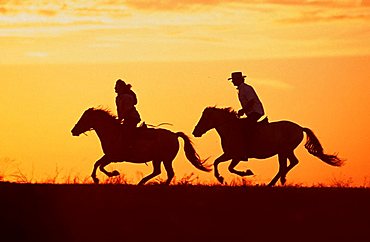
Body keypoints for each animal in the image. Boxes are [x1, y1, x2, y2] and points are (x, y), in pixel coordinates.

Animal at [71, 108, 211, 183]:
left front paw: (114, 173)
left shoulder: (113, 157)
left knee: (169, 173)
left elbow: (100, 166)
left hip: (166, 159)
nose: (73, 131)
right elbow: (97, 163)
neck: (112, 132)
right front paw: (96, 179)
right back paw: (141, 182)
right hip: (157, 159)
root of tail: (174, 135)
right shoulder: (108, 155)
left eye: (84, 119)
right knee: (157, 171)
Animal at [192, 106, 342, 187]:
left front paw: (244, 173)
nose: (195, 132)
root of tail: (300, 128)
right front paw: (222, 178)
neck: (230, 129)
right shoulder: (230, 155)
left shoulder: (235, 155)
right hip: (282, 152)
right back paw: (276, 181)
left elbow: (227, 166)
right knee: (285, 165)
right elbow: (218, 162)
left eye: (204, 118)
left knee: (292, 162)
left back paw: (280, 180)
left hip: (286, 149)